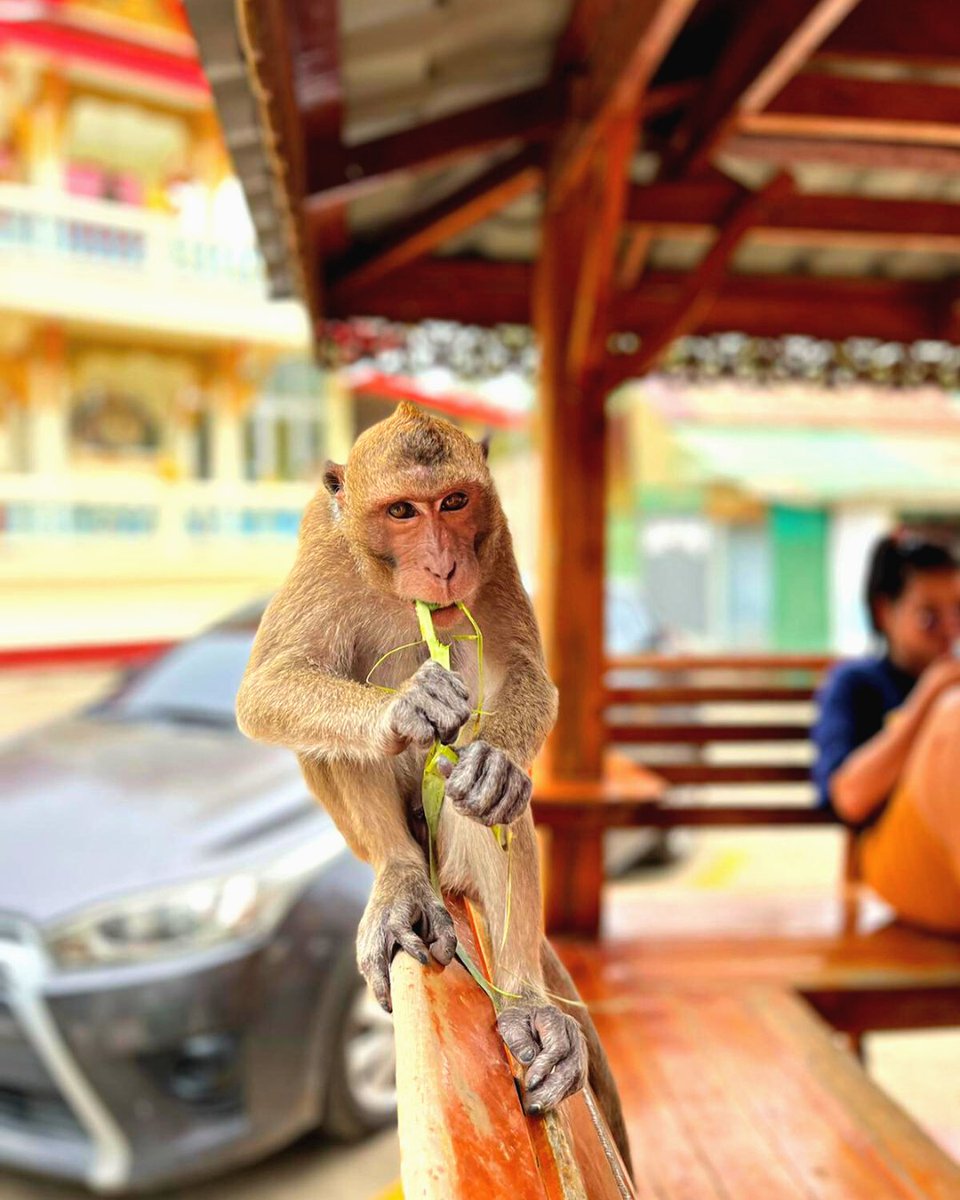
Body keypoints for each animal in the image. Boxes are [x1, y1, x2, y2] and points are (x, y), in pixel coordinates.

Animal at [235, 403, 631, 1168]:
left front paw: (496, 763)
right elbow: (265, 689)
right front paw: (409, 707)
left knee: (485, 802)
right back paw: (401, 882)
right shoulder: (325, 554)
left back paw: (527, 1003)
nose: (446, 565)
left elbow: (523, 678)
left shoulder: (496, 544)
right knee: (336, 725)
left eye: (453, 502)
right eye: (401, 511)